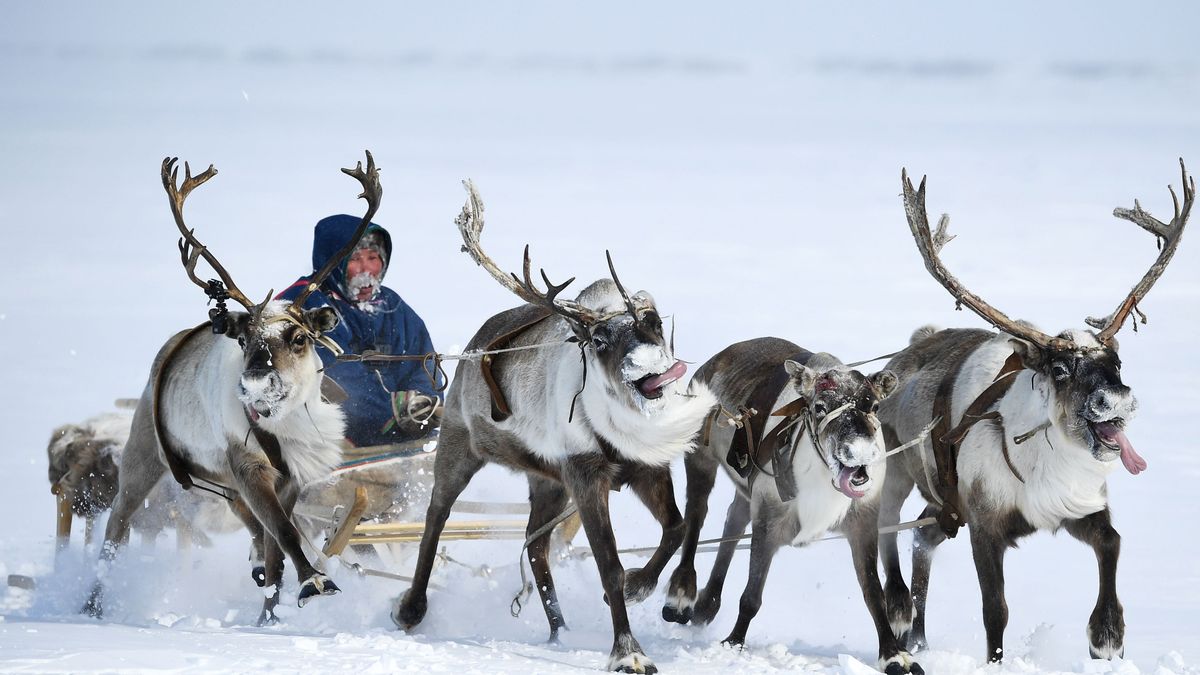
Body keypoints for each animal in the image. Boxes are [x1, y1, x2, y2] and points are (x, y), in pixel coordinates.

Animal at [83, 151, 382, 625]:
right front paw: (314, 582)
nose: (256, 382)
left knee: (251, 527)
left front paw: (270, 617)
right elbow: (284, 532)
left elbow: (278, 542)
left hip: (219, 479)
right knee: (116, 529)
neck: (282, 425)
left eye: (299, 338)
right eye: (245, 339)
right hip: (143, 455)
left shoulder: (287, 477)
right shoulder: (248, 465)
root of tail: (170, 347)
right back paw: (92, 605)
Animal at [391, 181, 717, 674]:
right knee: (436, 514)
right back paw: (411, 607)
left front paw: (638, 587)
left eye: (655, 323)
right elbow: (608, 564)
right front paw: (628, 651)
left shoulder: (645, 469)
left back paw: (559, 630)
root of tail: (471, 346)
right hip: (459, 446)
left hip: (546, 481)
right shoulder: (585, 475)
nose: (645, 370)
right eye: (598, 340)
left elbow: (675, 528)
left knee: (535, 545)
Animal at [659, 338, 923, 675]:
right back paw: (681, 596)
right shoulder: (769, 520)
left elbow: (874, 594)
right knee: (695, 517)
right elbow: (751, 594)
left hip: (747, 490)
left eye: (873, 406)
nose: (859, 455)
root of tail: (715, 359)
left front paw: (894, 654)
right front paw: (734, 642)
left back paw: (707, 604)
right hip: (701, 458)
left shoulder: (862, 522)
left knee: (734, 519)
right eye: (820, 407)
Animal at [871, 160, 1190, 663]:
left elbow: (1113, 543)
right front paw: (995, 662)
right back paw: (900, 609)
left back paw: (918, 638)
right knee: (887, 528)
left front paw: (1107, 635)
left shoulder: (1075, 508)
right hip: (898, 469)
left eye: (1116, 363)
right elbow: (995, 608)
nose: (1118, 401)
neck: (1045, 463)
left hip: (945, 505)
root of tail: (910, 346)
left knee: (922, 539)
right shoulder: (985, 523)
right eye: (1060, 369)